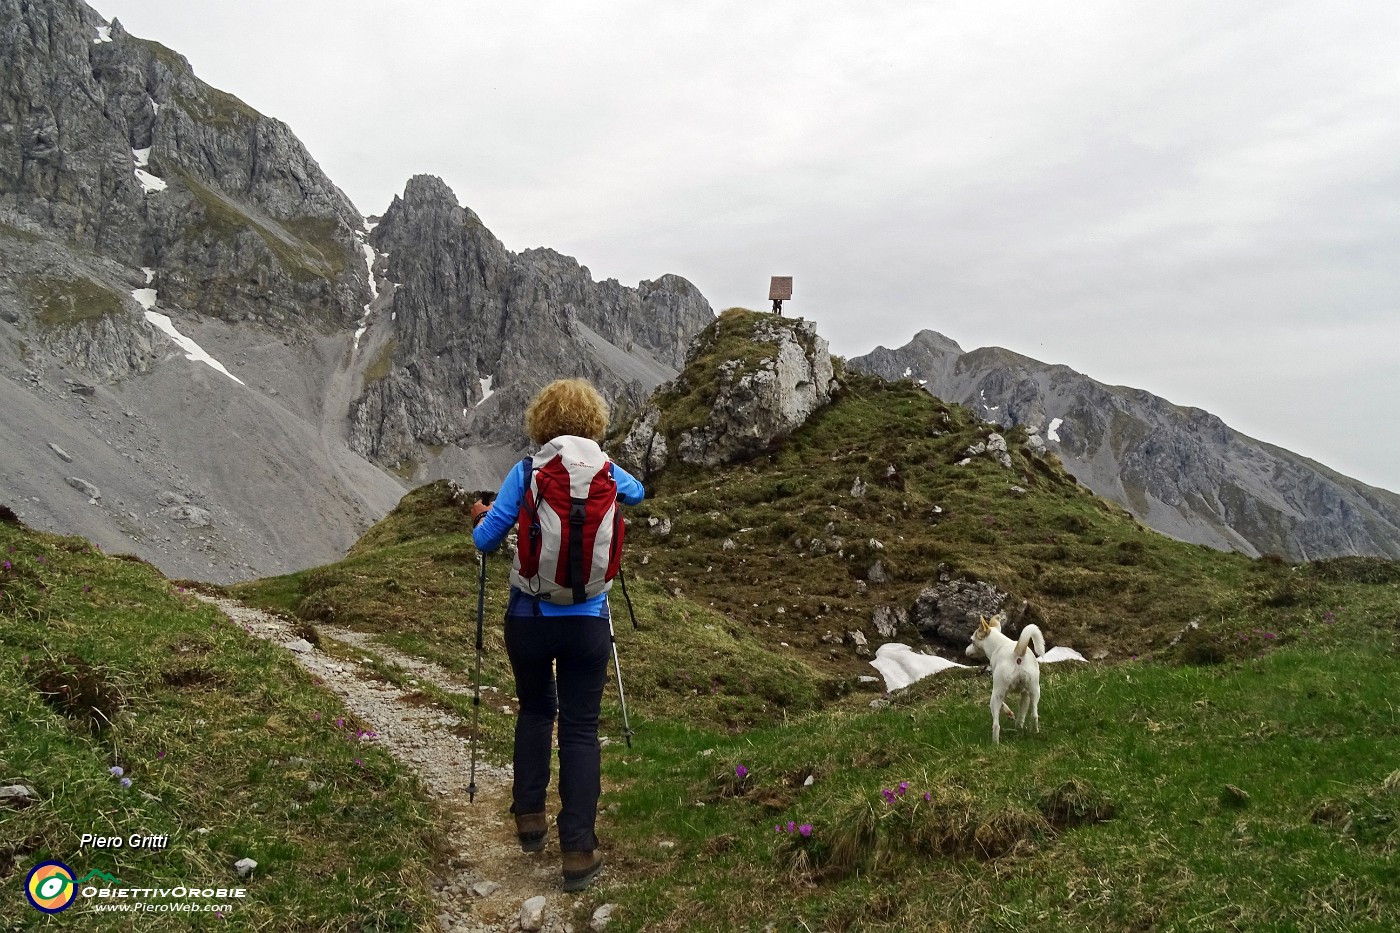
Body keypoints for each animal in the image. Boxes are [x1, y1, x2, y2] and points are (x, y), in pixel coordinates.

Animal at [968, 610, 1047, 739]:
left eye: (971, 641)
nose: (966, 650)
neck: (999, 644)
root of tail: (1017, 652)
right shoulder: (1024, 694)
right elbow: (1022, 713)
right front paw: (1018, 725)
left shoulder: (998, 690)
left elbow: (1003, 705)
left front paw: (1009, 713)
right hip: (1034, 690)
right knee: (1034, 715)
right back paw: (1033, 732)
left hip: (996, 694)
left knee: (996, 725)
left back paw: (994, 742)